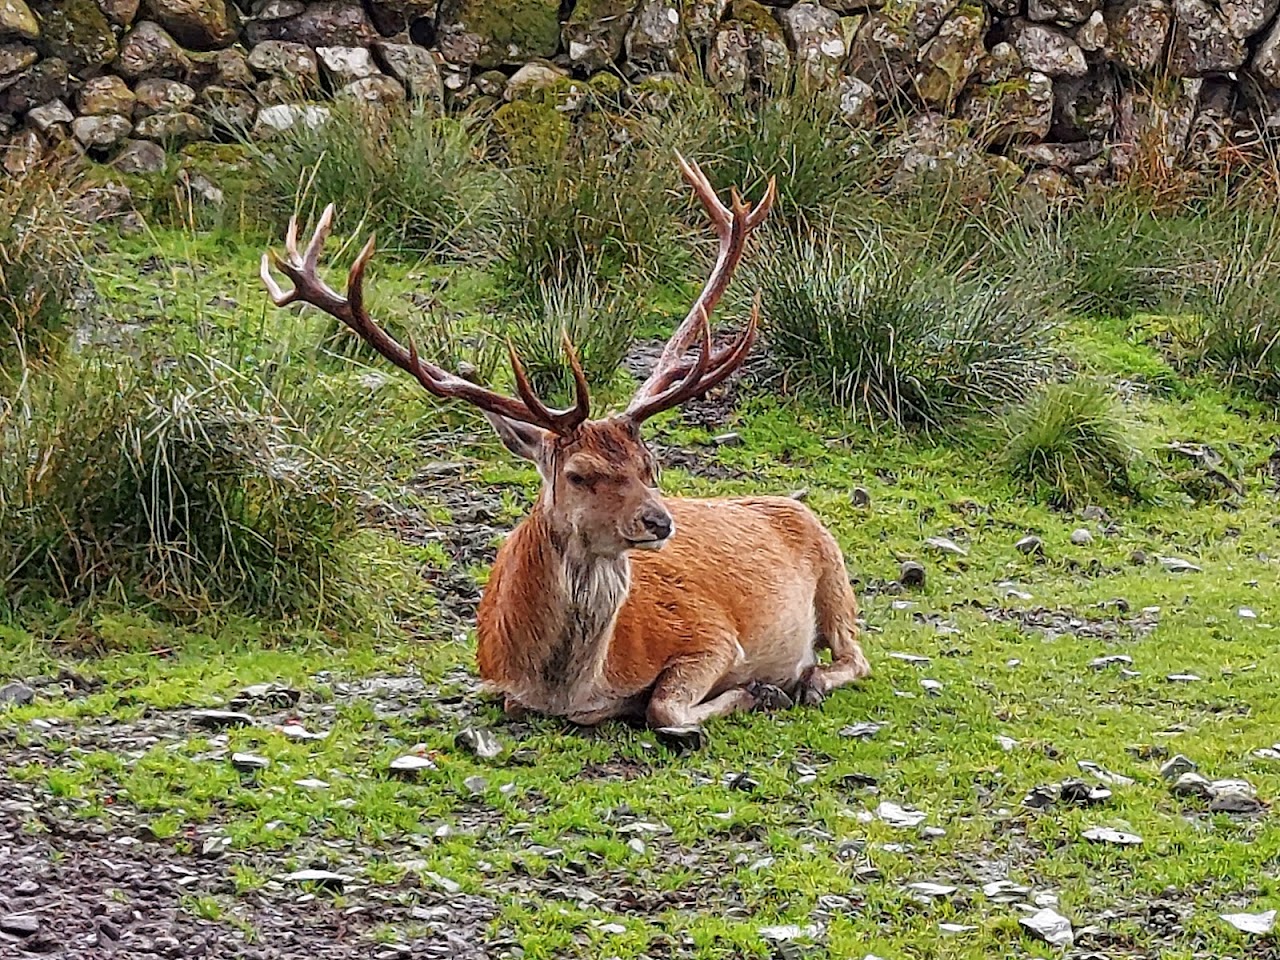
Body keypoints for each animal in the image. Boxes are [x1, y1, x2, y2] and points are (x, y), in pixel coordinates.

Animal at [260, 155, 871, 744]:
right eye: (579, 474)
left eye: (651, 465)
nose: (660, 522)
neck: (567, 685)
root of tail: (790, 505)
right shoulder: (495, 679)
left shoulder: (712, 635)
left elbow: (663, 708)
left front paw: (760, 691)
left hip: (834, 569)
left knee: (854, 656)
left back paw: (806, 681)